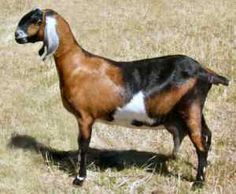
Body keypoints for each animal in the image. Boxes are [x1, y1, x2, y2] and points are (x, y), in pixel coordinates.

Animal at [14, 8, 229, 188]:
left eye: (36, 20)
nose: (17, 35)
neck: (77, 65)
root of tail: (204, 72)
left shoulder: (84, 117)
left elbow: (83, 145)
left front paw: (79, 179)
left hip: (190, 108)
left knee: (200, 143)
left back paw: (198, 183)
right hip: (194, 110)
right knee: (207, 135)